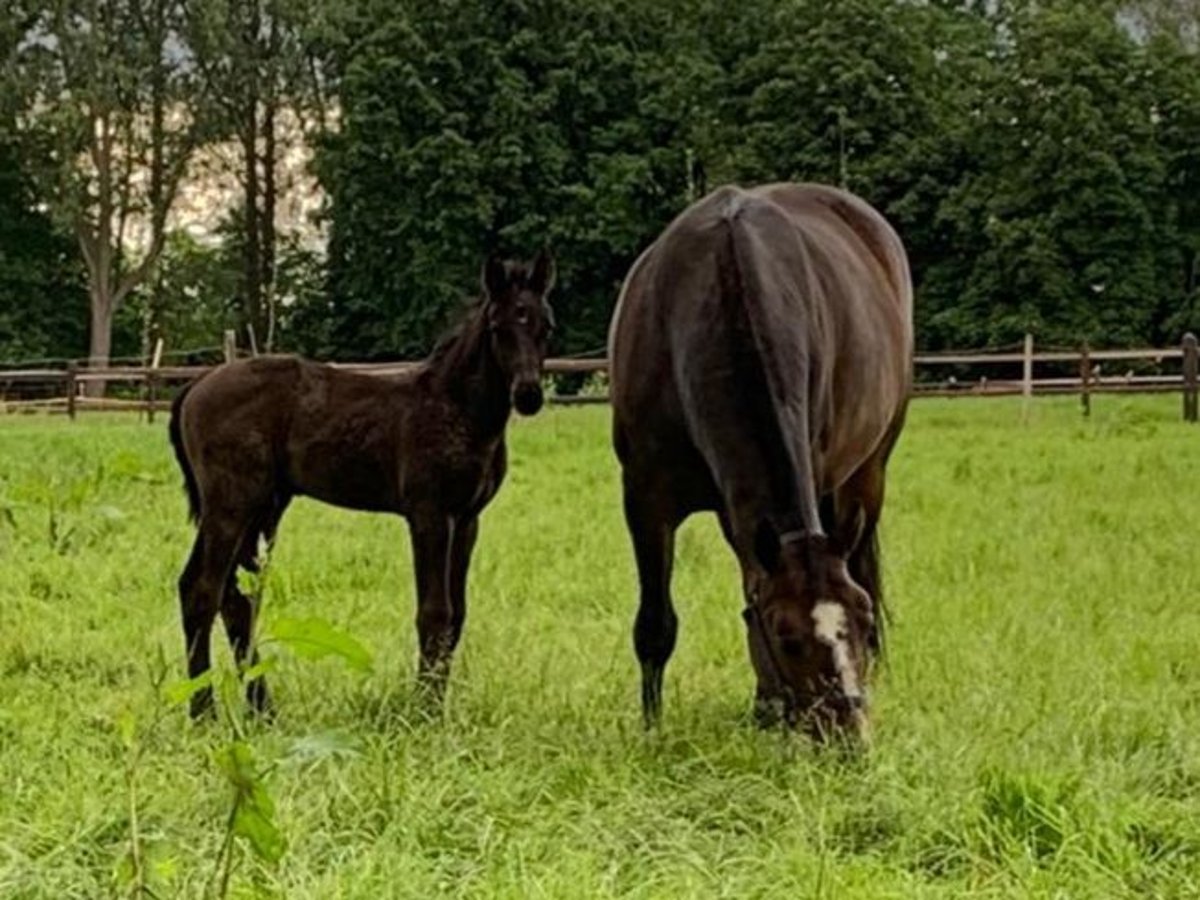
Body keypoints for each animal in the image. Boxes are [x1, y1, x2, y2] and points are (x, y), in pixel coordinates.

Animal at [169, 252, 556, 720]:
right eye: (499, 327)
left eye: (546, 326)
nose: (529, 395)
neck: (455, 407)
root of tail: (194, 387)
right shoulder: (429, 515)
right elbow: (434, 611)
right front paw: (423, 710)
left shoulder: (467, 520)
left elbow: (457, 614)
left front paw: (436, 702)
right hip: (230, 504)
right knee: (201, 590)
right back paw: (203, 711)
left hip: (263, 508)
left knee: (235, 598)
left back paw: (262, 710)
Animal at [609, 183, 907, 739]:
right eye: (786, 636)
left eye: (860, 620)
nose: (849, 735)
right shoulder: (646, 498)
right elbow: (657, 624)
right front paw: (652, 729)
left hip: (867, 474)